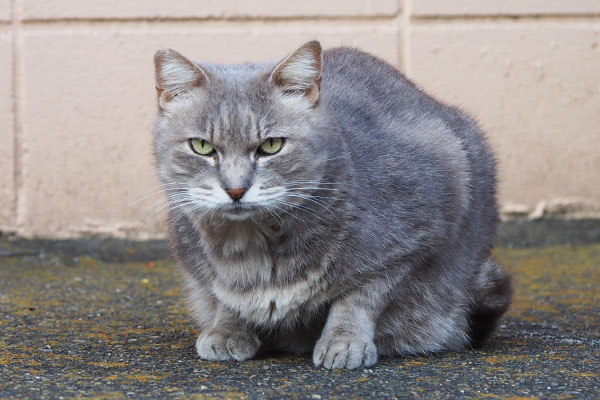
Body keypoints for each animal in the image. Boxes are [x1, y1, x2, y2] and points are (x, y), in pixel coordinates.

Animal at [150, 39, 510, 368]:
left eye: (271, 145)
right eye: (202, 146)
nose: (236, 189)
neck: (254, 244)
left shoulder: (410, 244)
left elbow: (359, 296)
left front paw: (344, 342)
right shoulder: (197, 264)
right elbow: (222, 295)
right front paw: (227, 330)